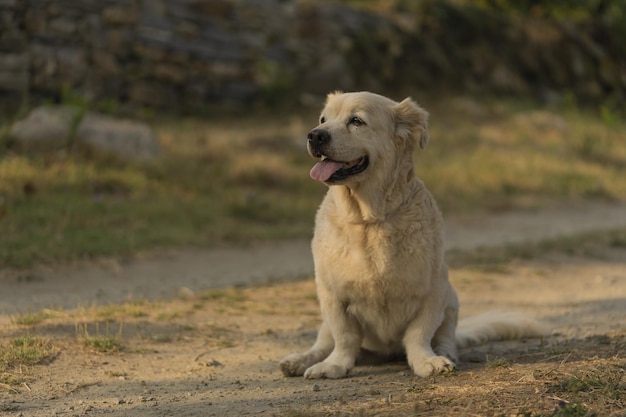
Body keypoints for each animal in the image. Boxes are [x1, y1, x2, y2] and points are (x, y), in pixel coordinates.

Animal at [280, 92, 544, 378]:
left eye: (357, 121)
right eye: (323, 119)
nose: (315, 136)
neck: (369, 219)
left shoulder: (433, 288)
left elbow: (418, 334)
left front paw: (427, 361)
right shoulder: (331, 293)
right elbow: (345, 336)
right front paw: (334, 364)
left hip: (452, 300)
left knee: (446, 337)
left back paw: (445, 353)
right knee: (323, 342)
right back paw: (299, 360)